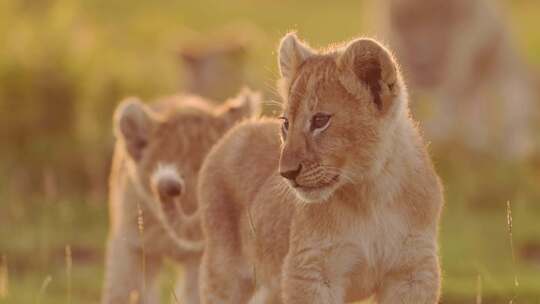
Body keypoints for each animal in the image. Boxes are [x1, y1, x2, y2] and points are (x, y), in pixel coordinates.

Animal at [198, 33, 442, 304]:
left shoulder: (412, 271)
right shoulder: (311, 271)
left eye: (320, 120)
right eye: (286, 123)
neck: (371, 192)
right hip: (225, 271)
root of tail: (240, 127)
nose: (286, 173)